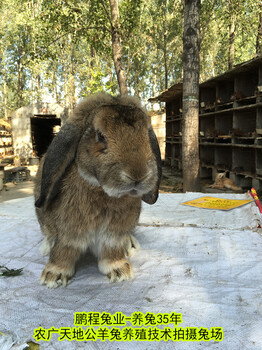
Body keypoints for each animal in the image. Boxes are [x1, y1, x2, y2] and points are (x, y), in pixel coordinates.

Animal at [34, 92, 162, 288]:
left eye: (146, 137)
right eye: (100, 136)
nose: (138, 175)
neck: (102, 191)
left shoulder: (112, 236)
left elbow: (111, 252)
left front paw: (119, 271)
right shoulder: (68, 233)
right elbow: (63, 250)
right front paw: (53, 276)